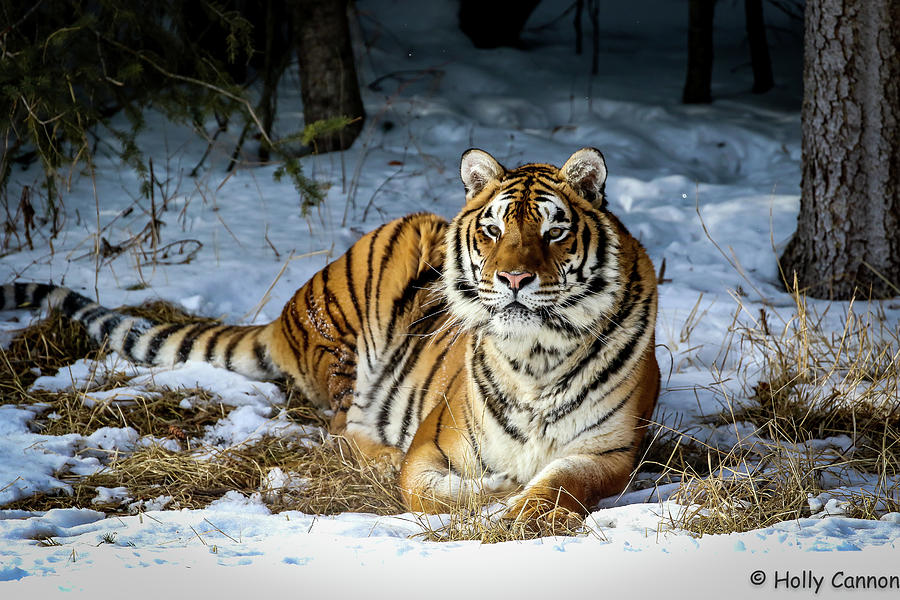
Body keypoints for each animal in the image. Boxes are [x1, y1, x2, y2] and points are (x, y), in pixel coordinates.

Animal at [1, 148, 660, 532]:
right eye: (495, 230)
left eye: (553, 232)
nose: (514, 279)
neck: (536, 355)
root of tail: (288, 311)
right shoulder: (434, 444)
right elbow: (428, 490)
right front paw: (493, 491)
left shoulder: (611, 451)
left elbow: (559, 485)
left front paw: (519, 504)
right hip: (352, 334)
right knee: (341, 435)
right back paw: (381, 454)